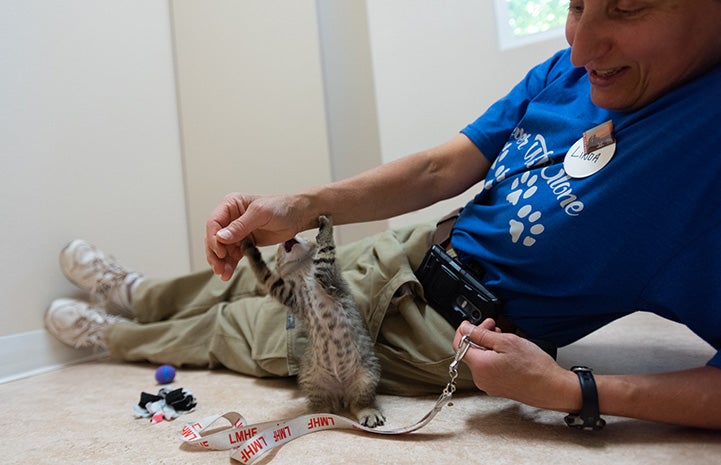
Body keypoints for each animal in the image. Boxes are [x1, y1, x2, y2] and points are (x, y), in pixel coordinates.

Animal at [242, 216, 386, 426]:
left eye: (301, 234)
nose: (288, 236)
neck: (304, 274)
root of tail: (341, 392)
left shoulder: (328, 276)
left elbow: (325, 251)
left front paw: (325, 227)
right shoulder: (289, 294)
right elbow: (265, 274)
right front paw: (249, 249)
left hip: (366, 375)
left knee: (359, 402)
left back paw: (368, 411)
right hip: (313, 379)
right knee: (324, 404)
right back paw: (315, 414)